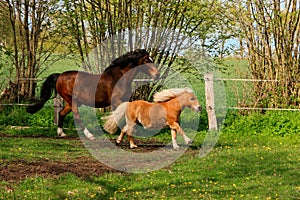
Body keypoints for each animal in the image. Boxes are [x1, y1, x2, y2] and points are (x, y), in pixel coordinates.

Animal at [26, 48, 159, 139]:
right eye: (146, 60)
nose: (157, 75)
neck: (119, 78)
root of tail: (59, 76)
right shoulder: (116, 101)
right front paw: (113, 130)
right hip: (72, 101)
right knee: (76, 117)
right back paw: (89, 135)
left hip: (71, 102)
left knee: (61, 113)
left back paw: (61, 133)